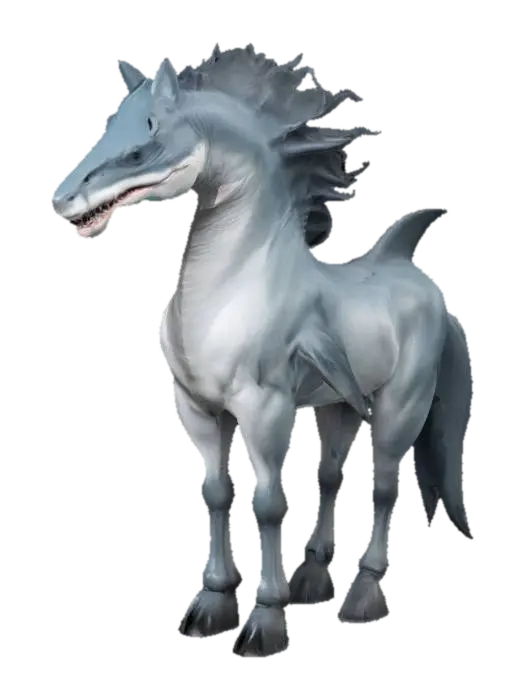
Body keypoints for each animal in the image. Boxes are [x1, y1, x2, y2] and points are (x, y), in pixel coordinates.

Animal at [50, 46, 474, 655]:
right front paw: (211, 605)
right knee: (331, 479)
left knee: (383, 488)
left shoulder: (264, 410)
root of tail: (424, 284)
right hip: (342, 407)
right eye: (102, 133)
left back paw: (364, 596)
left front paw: (266, 622)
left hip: (403, 406)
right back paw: (314, 576)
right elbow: (217, 496)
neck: (237, 284)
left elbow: (268, 506)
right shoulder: (197, 411)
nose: (62, 201)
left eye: (139, 148)